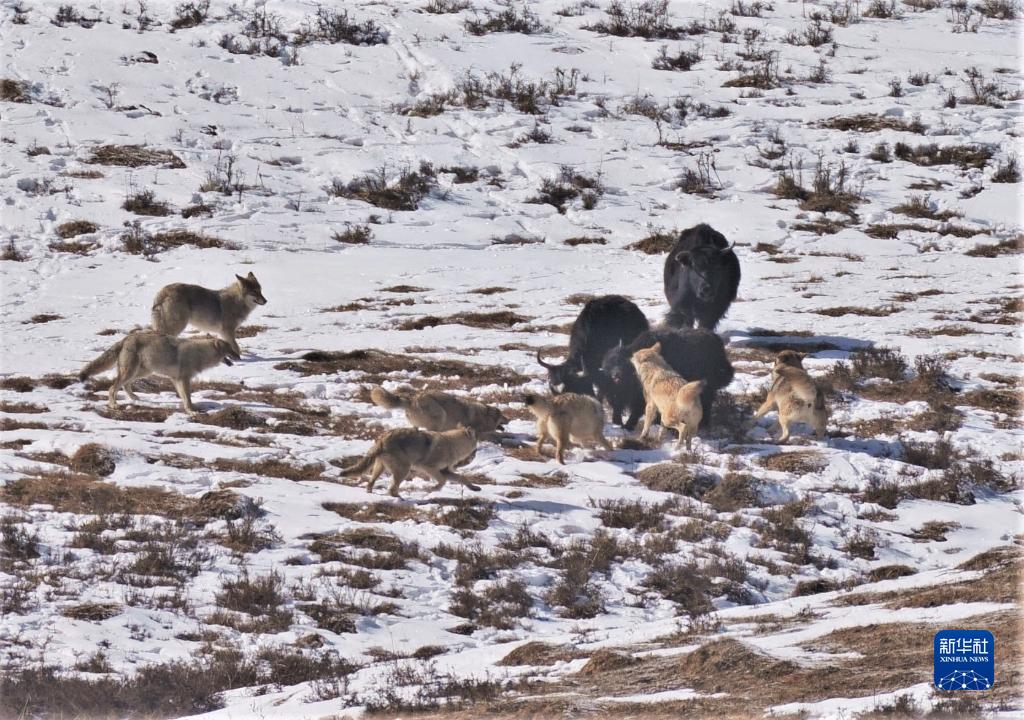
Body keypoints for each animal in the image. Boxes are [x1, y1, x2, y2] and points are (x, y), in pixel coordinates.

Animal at [78, 331, 239, 413]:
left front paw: (190, 409)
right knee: (112, 388)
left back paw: (135, 398)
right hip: (131, 372)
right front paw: (192, 411)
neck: (199, 354)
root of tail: (126, 338)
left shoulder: (177, 380)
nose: (239, 356)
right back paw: (114, 405)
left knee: (124, 386)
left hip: (141, 373)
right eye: (230, 349)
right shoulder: (183, 379)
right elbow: (188, 398)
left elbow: (184, 397)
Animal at [337, 426, 477, 497]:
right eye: (475, 447)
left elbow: (463, 478)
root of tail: (383, 438)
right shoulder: (428, 467)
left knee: (371, 483)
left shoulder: (445, 471)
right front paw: (433, 488)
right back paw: (399, 498)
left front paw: (474, 488)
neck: (452, 445)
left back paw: (371, 493)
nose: (475, 455)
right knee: (392, 489)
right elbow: (442, 481)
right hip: (404, 470)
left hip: (381, 468)